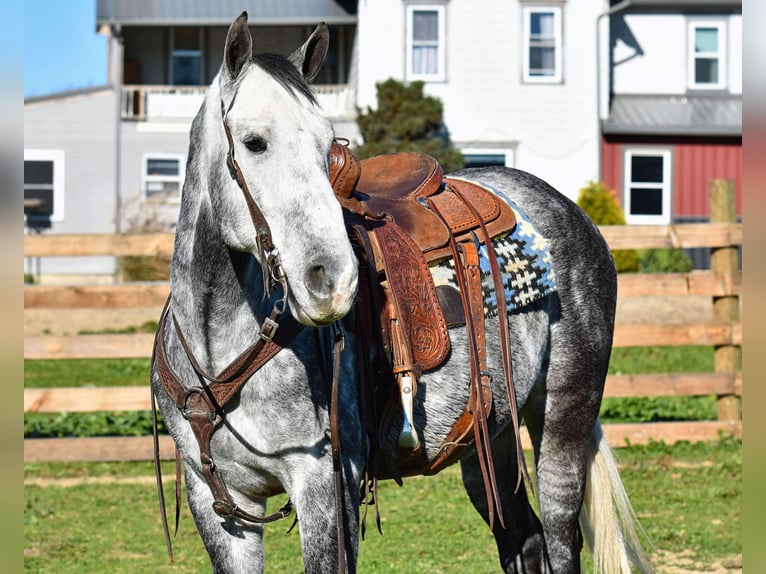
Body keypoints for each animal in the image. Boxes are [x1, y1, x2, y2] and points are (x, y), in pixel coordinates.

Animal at [150, 11, 656, 572]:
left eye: (329, 144)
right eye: (254, 141)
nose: (332, 279)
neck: (219, 350)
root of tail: (575, 214)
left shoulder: (326, 489)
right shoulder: (219, 505)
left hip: (564, 422)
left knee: (562, 541)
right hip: (491, 441)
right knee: (523, 540)